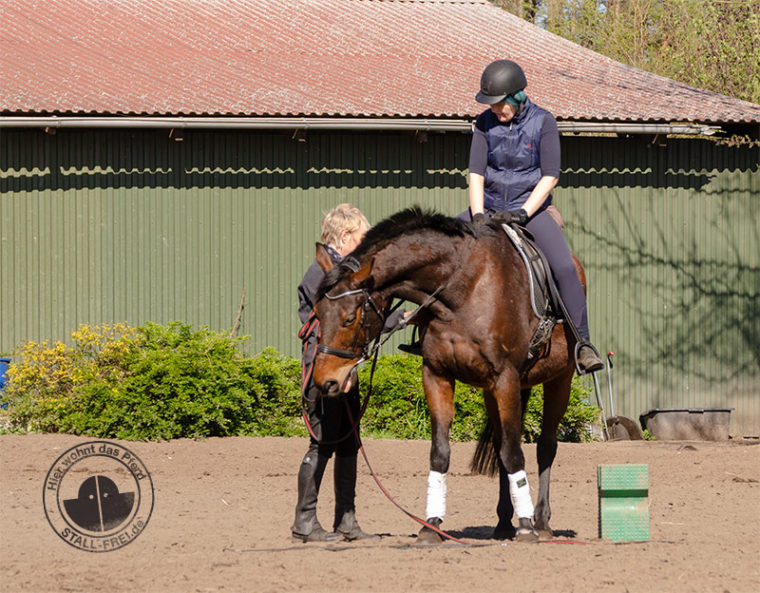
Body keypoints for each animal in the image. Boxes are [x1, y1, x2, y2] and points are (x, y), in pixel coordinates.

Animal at [312, 207, 584, 540]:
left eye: (349, 318)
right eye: (317, 312)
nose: (325, 381)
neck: (461, 291)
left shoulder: (506, 377)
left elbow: (514, 452)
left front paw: (526, 526)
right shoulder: (437, 375)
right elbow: (441, 452)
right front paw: (432, 525)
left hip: (560, 379)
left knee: (545, 445)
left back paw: (540, 522)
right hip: (492, 390)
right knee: (502, 445)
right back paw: (503, 523)